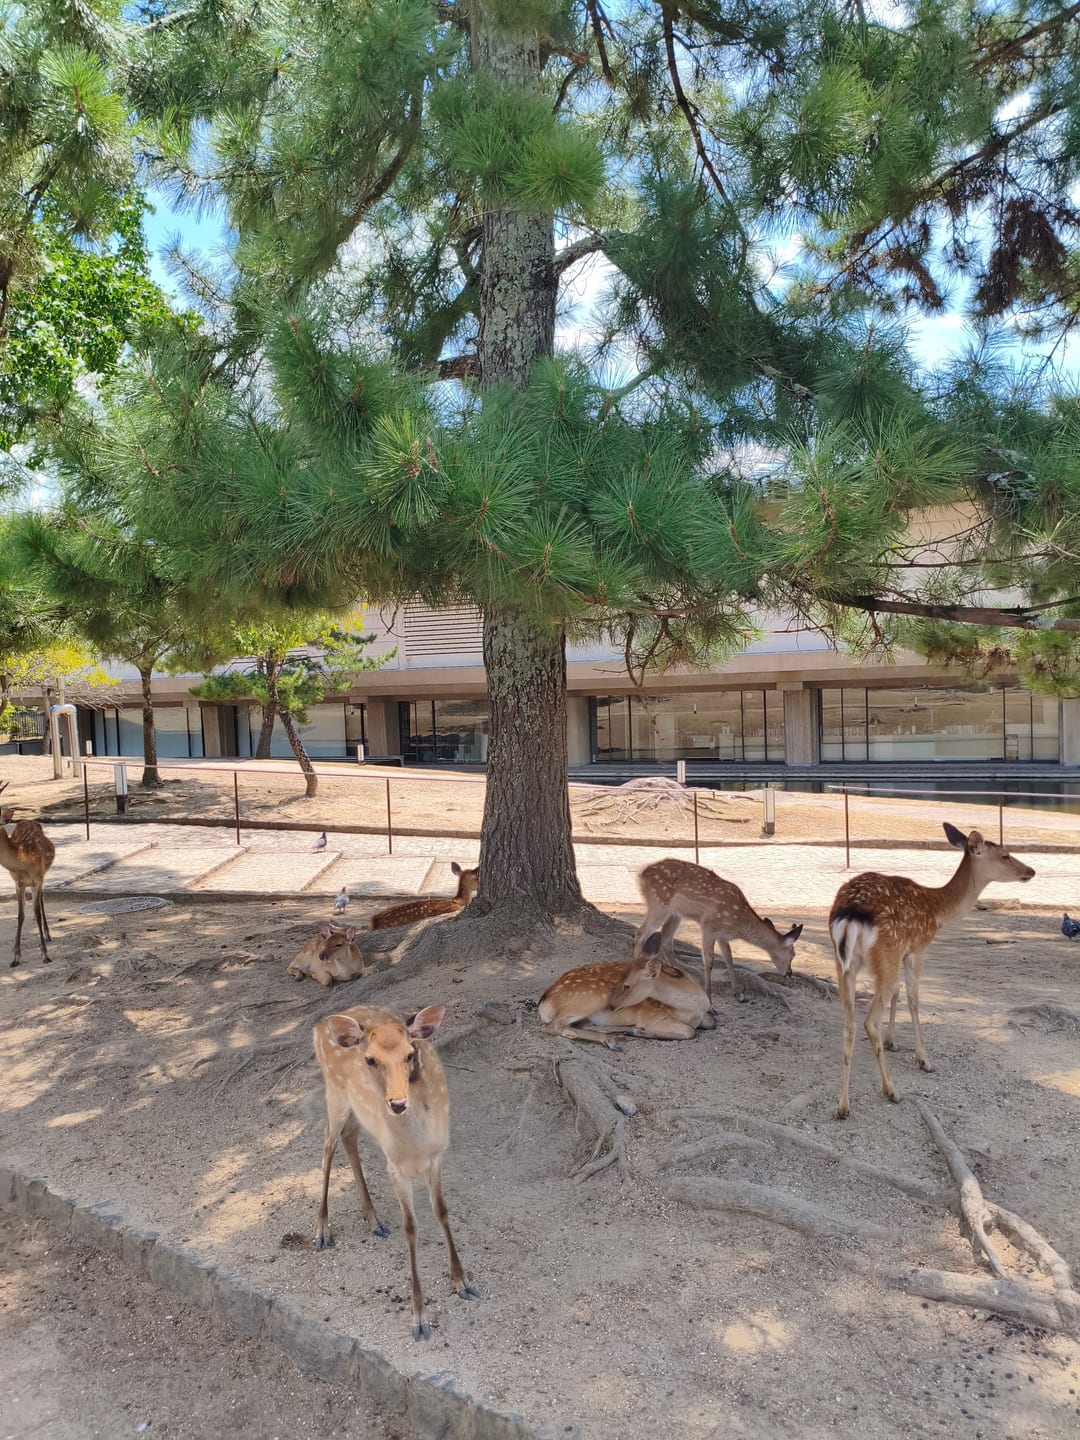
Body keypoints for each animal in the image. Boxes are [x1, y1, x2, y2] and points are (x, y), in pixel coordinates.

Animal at [0, 783, 56, 968]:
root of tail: (29, 820)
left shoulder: (37, 878)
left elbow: (36, 912)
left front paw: (45, 955)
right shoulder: (18, 882)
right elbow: (20, 915)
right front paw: (15, 957)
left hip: (43, 874)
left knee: (42, 900)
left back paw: (48, 935)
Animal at [311, 1002, 477, 1340]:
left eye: (410, 1054)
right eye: (370, 1059)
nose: (397, 1103)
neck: (416, 1144)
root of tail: (319, 1026)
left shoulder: (437, 1156)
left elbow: (442, 1211)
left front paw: (462, 1282)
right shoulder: (395, 1167)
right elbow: (410, 1227)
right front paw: (419, 1318)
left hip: (358, 1111)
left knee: (348, 1137)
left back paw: (373, 1220)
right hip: (335, 1094)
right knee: (328, 1142)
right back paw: (322, 1230)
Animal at [538, 932, 713, 1043]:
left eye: (626, 984)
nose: (611, 1006)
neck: (693, 1010)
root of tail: (544, 1001)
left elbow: (712, 1022)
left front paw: (636, 1030)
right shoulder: (653, 1015)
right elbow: (690, 1031)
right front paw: (641, 1031)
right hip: (593, 996)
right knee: (551, 1026)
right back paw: (610, 1040)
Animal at [635, 857, 803, 1006]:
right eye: (792, 954)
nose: (789, 973)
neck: (739, 923)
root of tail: (642, 873)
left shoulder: (722, 934)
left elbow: (729, 958)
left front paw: (739, 994)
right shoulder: (709, 926)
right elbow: (709, 961)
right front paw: (710, 1001)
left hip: (675, 913)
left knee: (666, 938)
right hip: (659, 903)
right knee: (641, 933)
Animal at [830, 822, 1035, 1120]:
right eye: (1005, 855)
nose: (1031, 871)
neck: (937, 911)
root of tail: (850, 914)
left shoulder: (902, 952)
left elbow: (898, 993)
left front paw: (893, 1041)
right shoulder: (917, 948)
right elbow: (914, 999)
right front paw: (923, 1059)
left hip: (844, 963)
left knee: (850, 1024)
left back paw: (842, 1106)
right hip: (884, 953)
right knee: (869, 1021)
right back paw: (891, 1090)